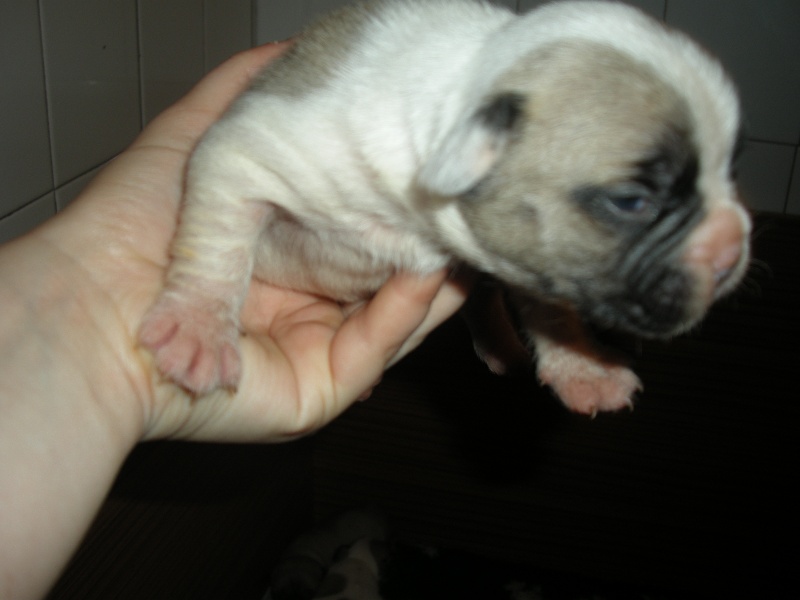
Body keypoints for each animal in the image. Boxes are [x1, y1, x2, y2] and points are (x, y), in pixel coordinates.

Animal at [139, 0, 752, 418]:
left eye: (732, 166)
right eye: (632, 202)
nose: (734, 250)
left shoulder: (527, 254)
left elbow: (551, 307)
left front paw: (583, 365)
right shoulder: (243, 155)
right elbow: (219, 242)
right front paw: (197, 328)